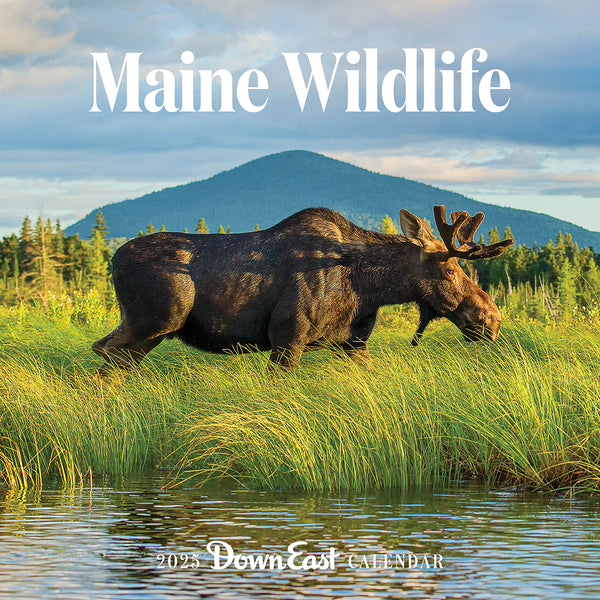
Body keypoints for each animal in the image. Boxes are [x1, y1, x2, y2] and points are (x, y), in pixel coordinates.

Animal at [91, 205, 512, 370]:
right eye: (451, 269)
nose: (492, 319)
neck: (369, 287)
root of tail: (113, 259)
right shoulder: (287, 339)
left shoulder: (353, 343)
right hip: (154, 322)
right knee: (106, 358)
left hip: (141, 328)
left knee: (103, 351)